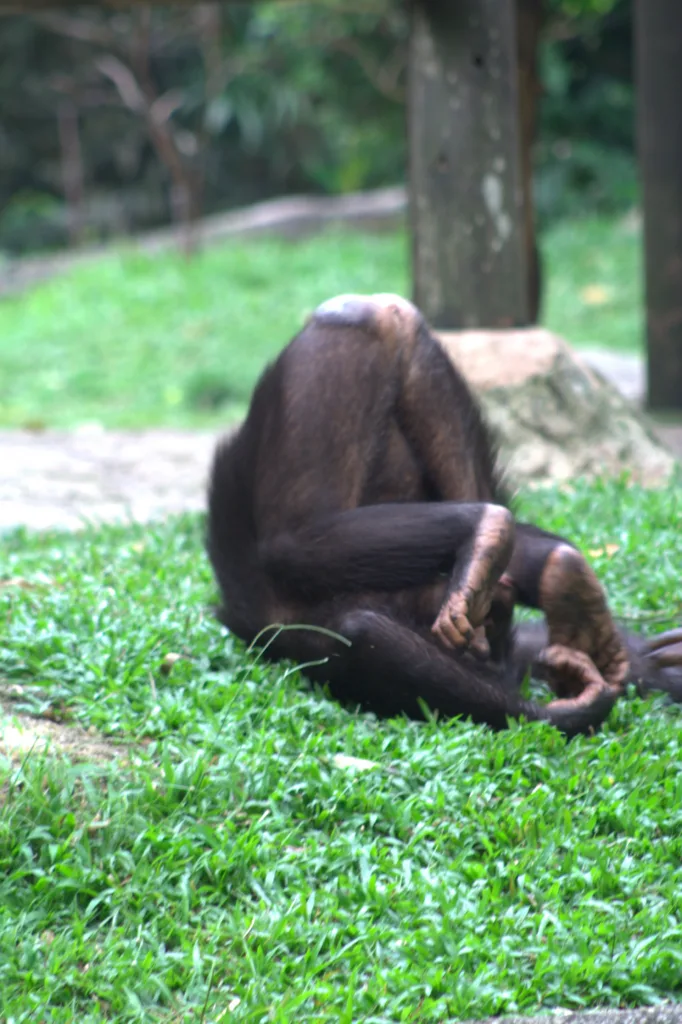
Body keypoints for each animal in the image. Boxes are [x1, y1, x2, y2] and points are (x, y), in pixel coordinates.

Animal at [206, 293, 682, 738]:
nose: (491, 621)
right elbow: (364, 638)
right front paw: (576, 704)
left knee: (392, 327)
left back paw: (547, 569)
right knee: (289, 544)